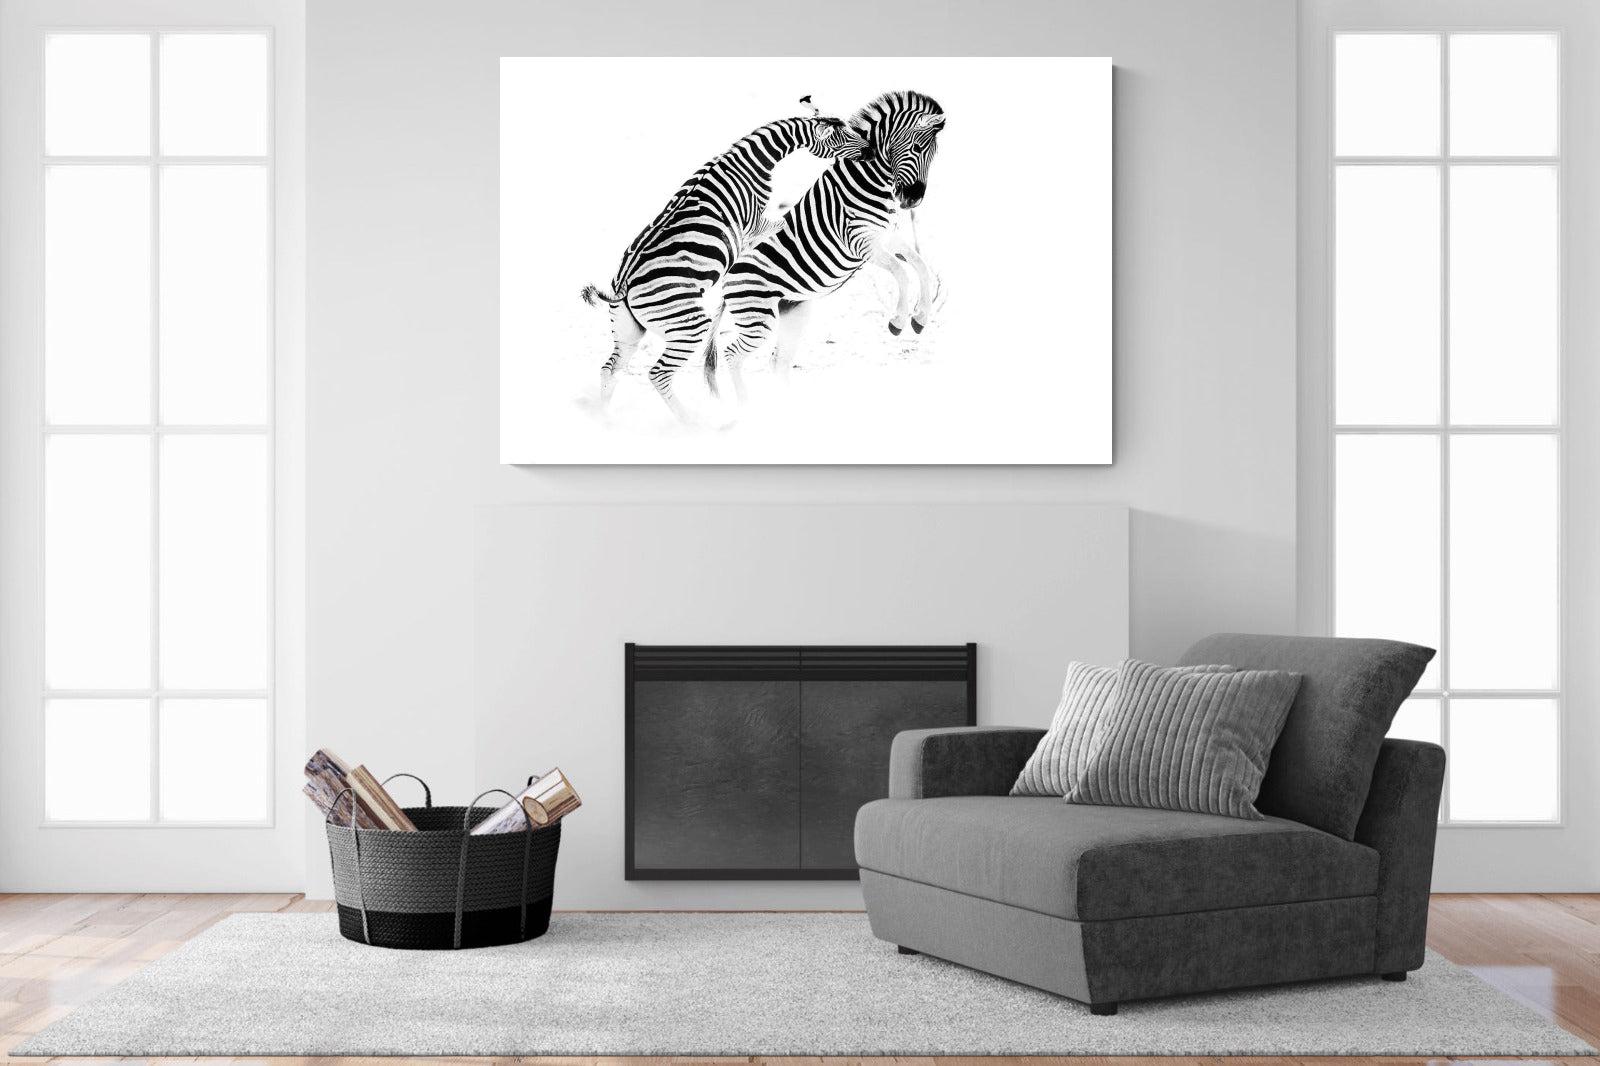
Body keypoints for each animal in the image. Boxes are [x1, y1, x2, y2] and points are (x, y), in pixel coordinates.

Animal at [580, 104, 869, 422]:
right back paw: (691, 421)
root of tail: (624, 285)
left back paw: (606, 419)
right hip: (689, 326)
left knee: (610, 370)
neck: (751, 164)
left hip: (628, 331)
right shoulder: (753, 225)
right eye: (843, 137)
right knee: (658, 374)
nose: (870, 150)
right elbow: (781, 224)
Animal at [709, 91, 945, 402]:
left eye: (935, 154)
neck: (867, 180)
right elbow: (902, 272)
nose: (913, 200)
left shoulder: (886, 236)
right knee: (732, 354)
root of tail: (726, 277)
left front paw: (920, 317)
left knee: (778, 361)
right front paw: (898, 321)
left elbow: (920, 266)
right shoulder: (860, 241)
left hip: (794, 312)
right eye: (917, 148)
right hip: (758, 314)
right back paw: (746, 404)